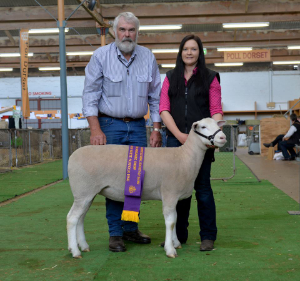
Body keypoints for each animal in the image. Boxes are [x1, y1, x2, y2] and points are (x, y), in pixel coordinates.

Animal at [68, 117, 226, 258]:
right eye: (203, 127)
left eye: (216, 124)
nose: (223, 137)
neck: (184, 157)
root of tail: (72, 156)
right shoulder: (169, 193)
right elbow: (170, 222)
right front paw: (170, 250)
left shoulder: (174, 196)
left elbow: (175, 219)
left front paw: (175, 243)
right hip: (83, 191)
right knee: (72, 218)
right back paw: (75, 251)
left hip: (87, 194)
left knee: (80, 218)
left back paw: (84, 246)